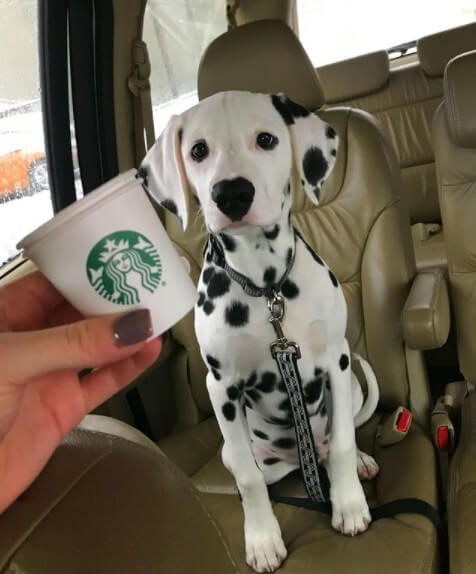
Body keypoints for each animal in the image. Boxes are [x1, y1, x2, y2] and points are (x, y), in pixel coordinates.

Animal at [141, 91, 380, 573]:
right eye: (198, 150)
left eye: (266, 139)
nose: (231, 193)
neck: (267, 287)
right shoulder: (221, 388)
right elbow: (249, 482)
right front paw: (263, 538)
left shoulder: (336, 359)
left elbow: (344, 443)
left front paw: (349, 505)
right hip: (234, 451)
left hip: (349, 386)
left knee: (334, 445)